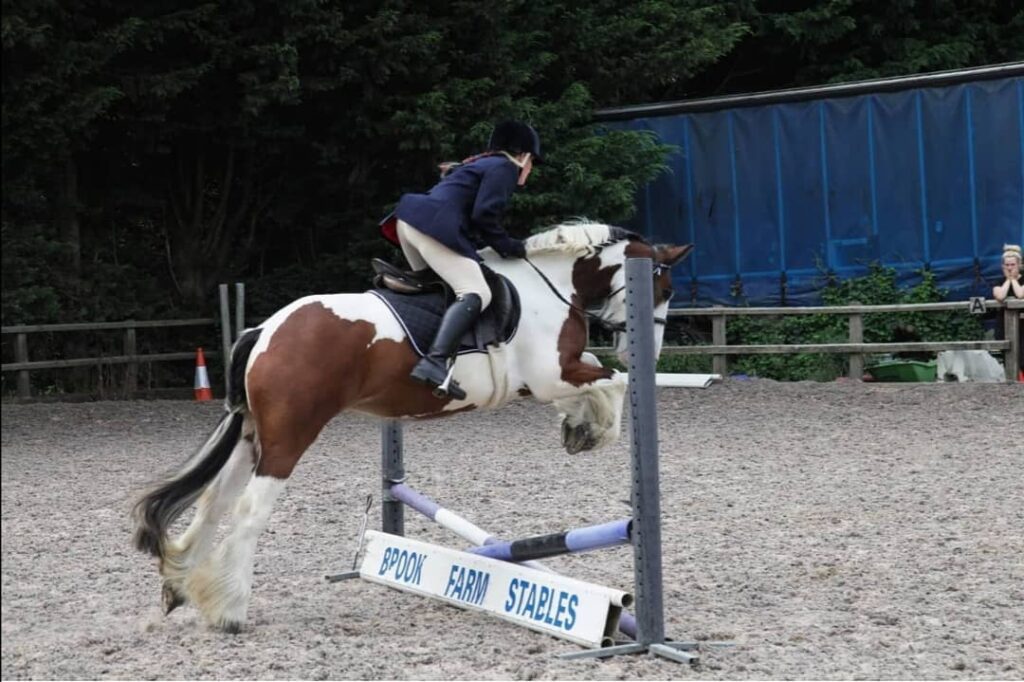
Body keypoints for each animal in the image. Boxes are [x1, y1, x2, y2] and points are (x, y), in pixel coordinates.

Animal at [132, 220, 692, 630]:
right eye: (663, 286)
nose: (648, 350)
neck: (547, 287)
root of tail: (264, 329)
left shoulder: (552, 377)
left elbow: (599, 376)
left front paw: (577, 426)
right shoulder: (549, 376)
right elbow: (613, 383)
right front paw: (591, 431)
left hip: (254, 435)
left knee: (215, 500)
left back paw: (179, 586)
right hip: (289, 437)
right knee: (249, 510)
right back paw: (230, 610)